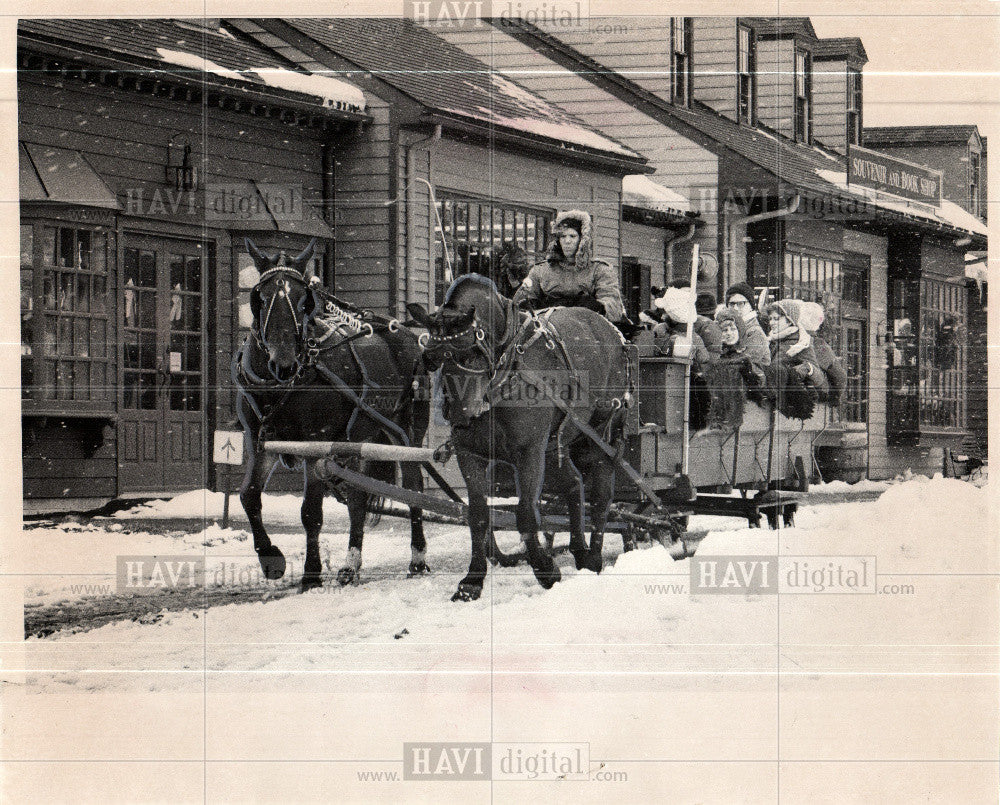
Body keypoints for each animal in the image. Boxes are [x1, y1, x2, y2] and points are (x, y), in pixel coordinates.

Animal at [235, 239, 430, 592]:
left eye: (304, 300)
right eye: (260, 297)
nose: (283, 363)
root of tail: (405, 332)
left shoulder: (317, 443)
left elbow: (311, 511)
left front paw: (311, 574)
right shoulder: (259, 441)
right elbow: (249, 496)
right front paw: (271, 559)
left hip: (406, 432)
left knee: (413, 488)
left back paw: (418, 557)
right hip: (360, 440)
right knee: (358, 499)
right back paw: (351, 566)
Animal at [404, 274, 624, 600]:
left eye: (471, 353)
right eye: (430, 358)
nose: (459, 416)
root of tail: (612, 330)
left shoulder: (528, 452)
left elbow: (525, 513)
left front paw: (546, 570)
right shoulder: (470, 454)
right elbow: (478, 514)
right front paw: (472, 580)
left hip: (597, 433)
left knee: (600, 490)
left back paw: (594, 557)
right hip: (555, 442)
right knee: (573, 483)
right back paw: (580, 551)